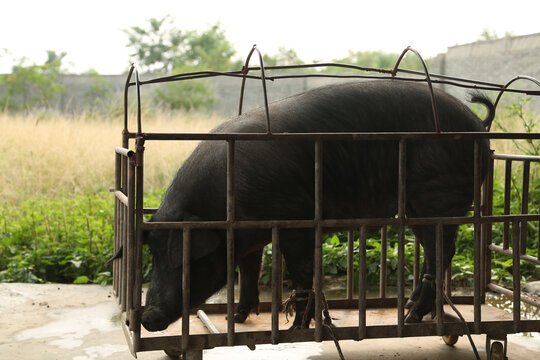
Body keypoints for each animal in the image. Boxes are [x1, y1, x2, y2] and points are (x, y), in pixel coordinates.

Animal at [141, 80, 496, 330]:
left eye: (182, 259)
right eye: (153, 255)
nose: (146, 318)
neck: (222, 204)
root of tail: (478, 124)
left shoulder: (295, 219)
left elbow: (301, 272)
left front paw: (299, 326)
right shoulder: (248, 236)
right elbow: (249, 270)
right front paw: (236, 319)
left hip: (440, 197)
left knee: (441, 253)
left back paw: (410, 318)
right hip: (417, 206)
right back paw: (408, 308)